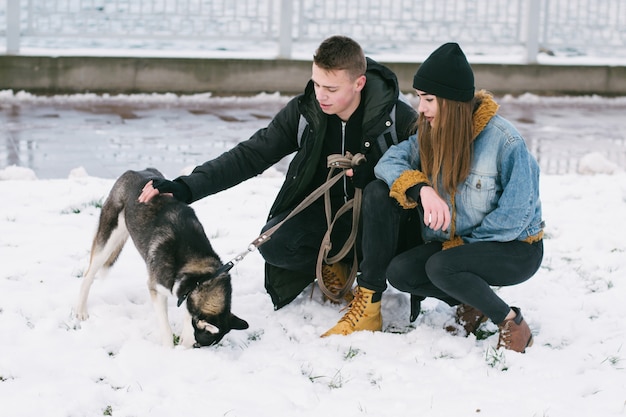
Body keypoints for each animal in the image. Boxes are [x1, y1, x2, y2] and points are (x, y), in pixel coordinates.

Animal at [74, 167, 247, 346]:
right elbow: (166, 330)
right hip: (109, 239)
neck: (199, 277)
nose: (191, 349)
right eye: (198, 344)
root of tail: (137, 171)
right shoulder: (156, 289)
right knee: (88, 275)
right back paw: (80, 309)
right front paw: (169, 349)